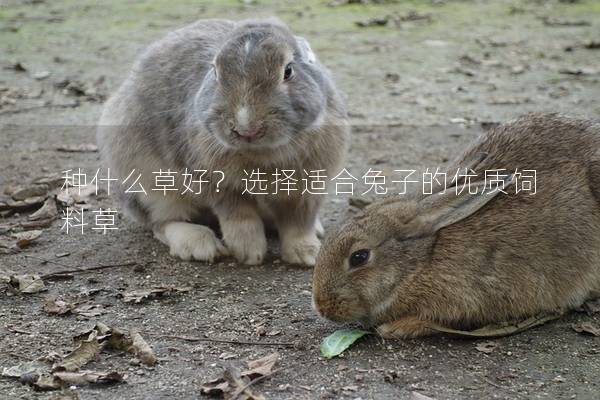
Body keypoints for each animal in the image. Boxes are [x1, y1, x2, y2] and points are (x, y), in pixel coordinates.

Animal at [98, 18, 350, 264]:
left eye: (288, 71)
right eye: (216, 72)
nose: (246, 128)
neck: (262, 152)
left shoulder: (307, 189)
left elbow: (299, 222)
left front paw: (307, 255)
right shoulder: (219, 184)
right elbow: (239, 216)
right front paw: (249, 252)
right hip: (150, 186)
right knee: (161, 222)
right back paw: (200, 245)